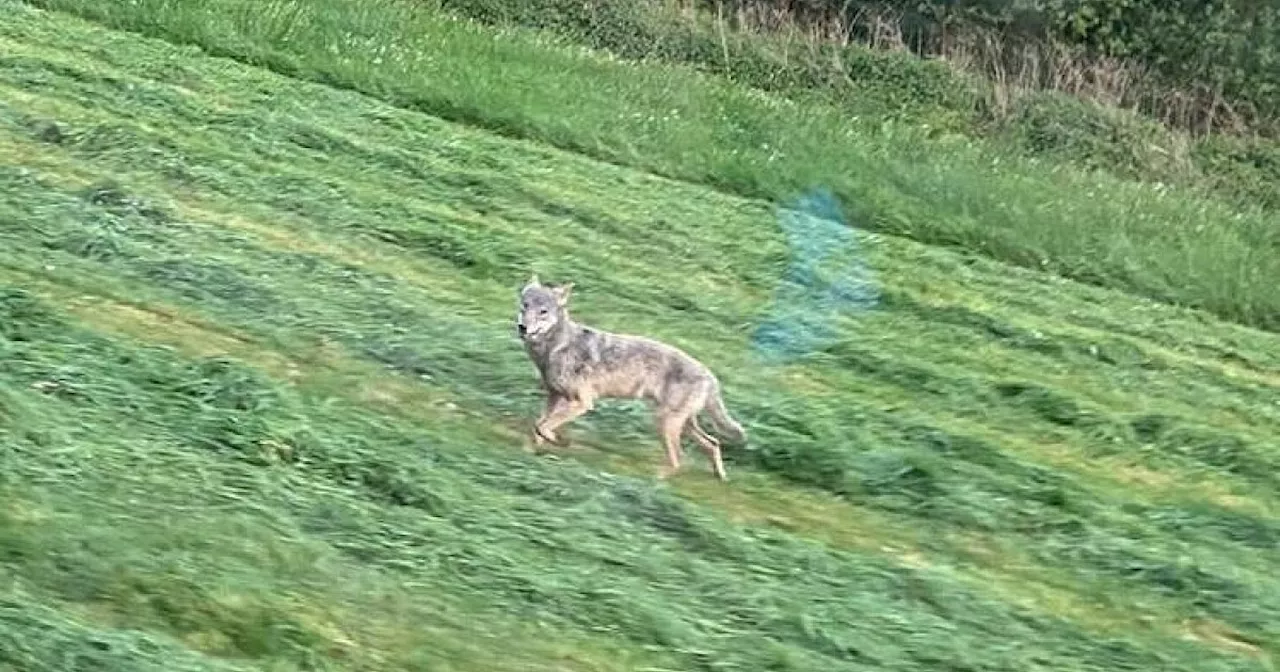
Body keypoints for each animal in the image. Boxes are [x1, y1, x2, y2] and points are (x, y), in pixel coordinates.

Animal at [514, 275, 747, 478]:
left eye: (543, 312)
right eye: (525, 306)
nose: (522, 327)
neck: (555, 348)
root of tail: (711, 376)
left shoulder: (582, 403)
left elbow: (543, 426)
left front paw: (556, 441)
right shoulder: (554, 397)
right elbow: (538, 426)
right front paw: (530, 454)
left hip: (665, 423)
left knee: (680, 458)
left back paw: (655, 482)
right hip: (683, 425)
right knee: (713, 443)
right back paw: (720, 477)